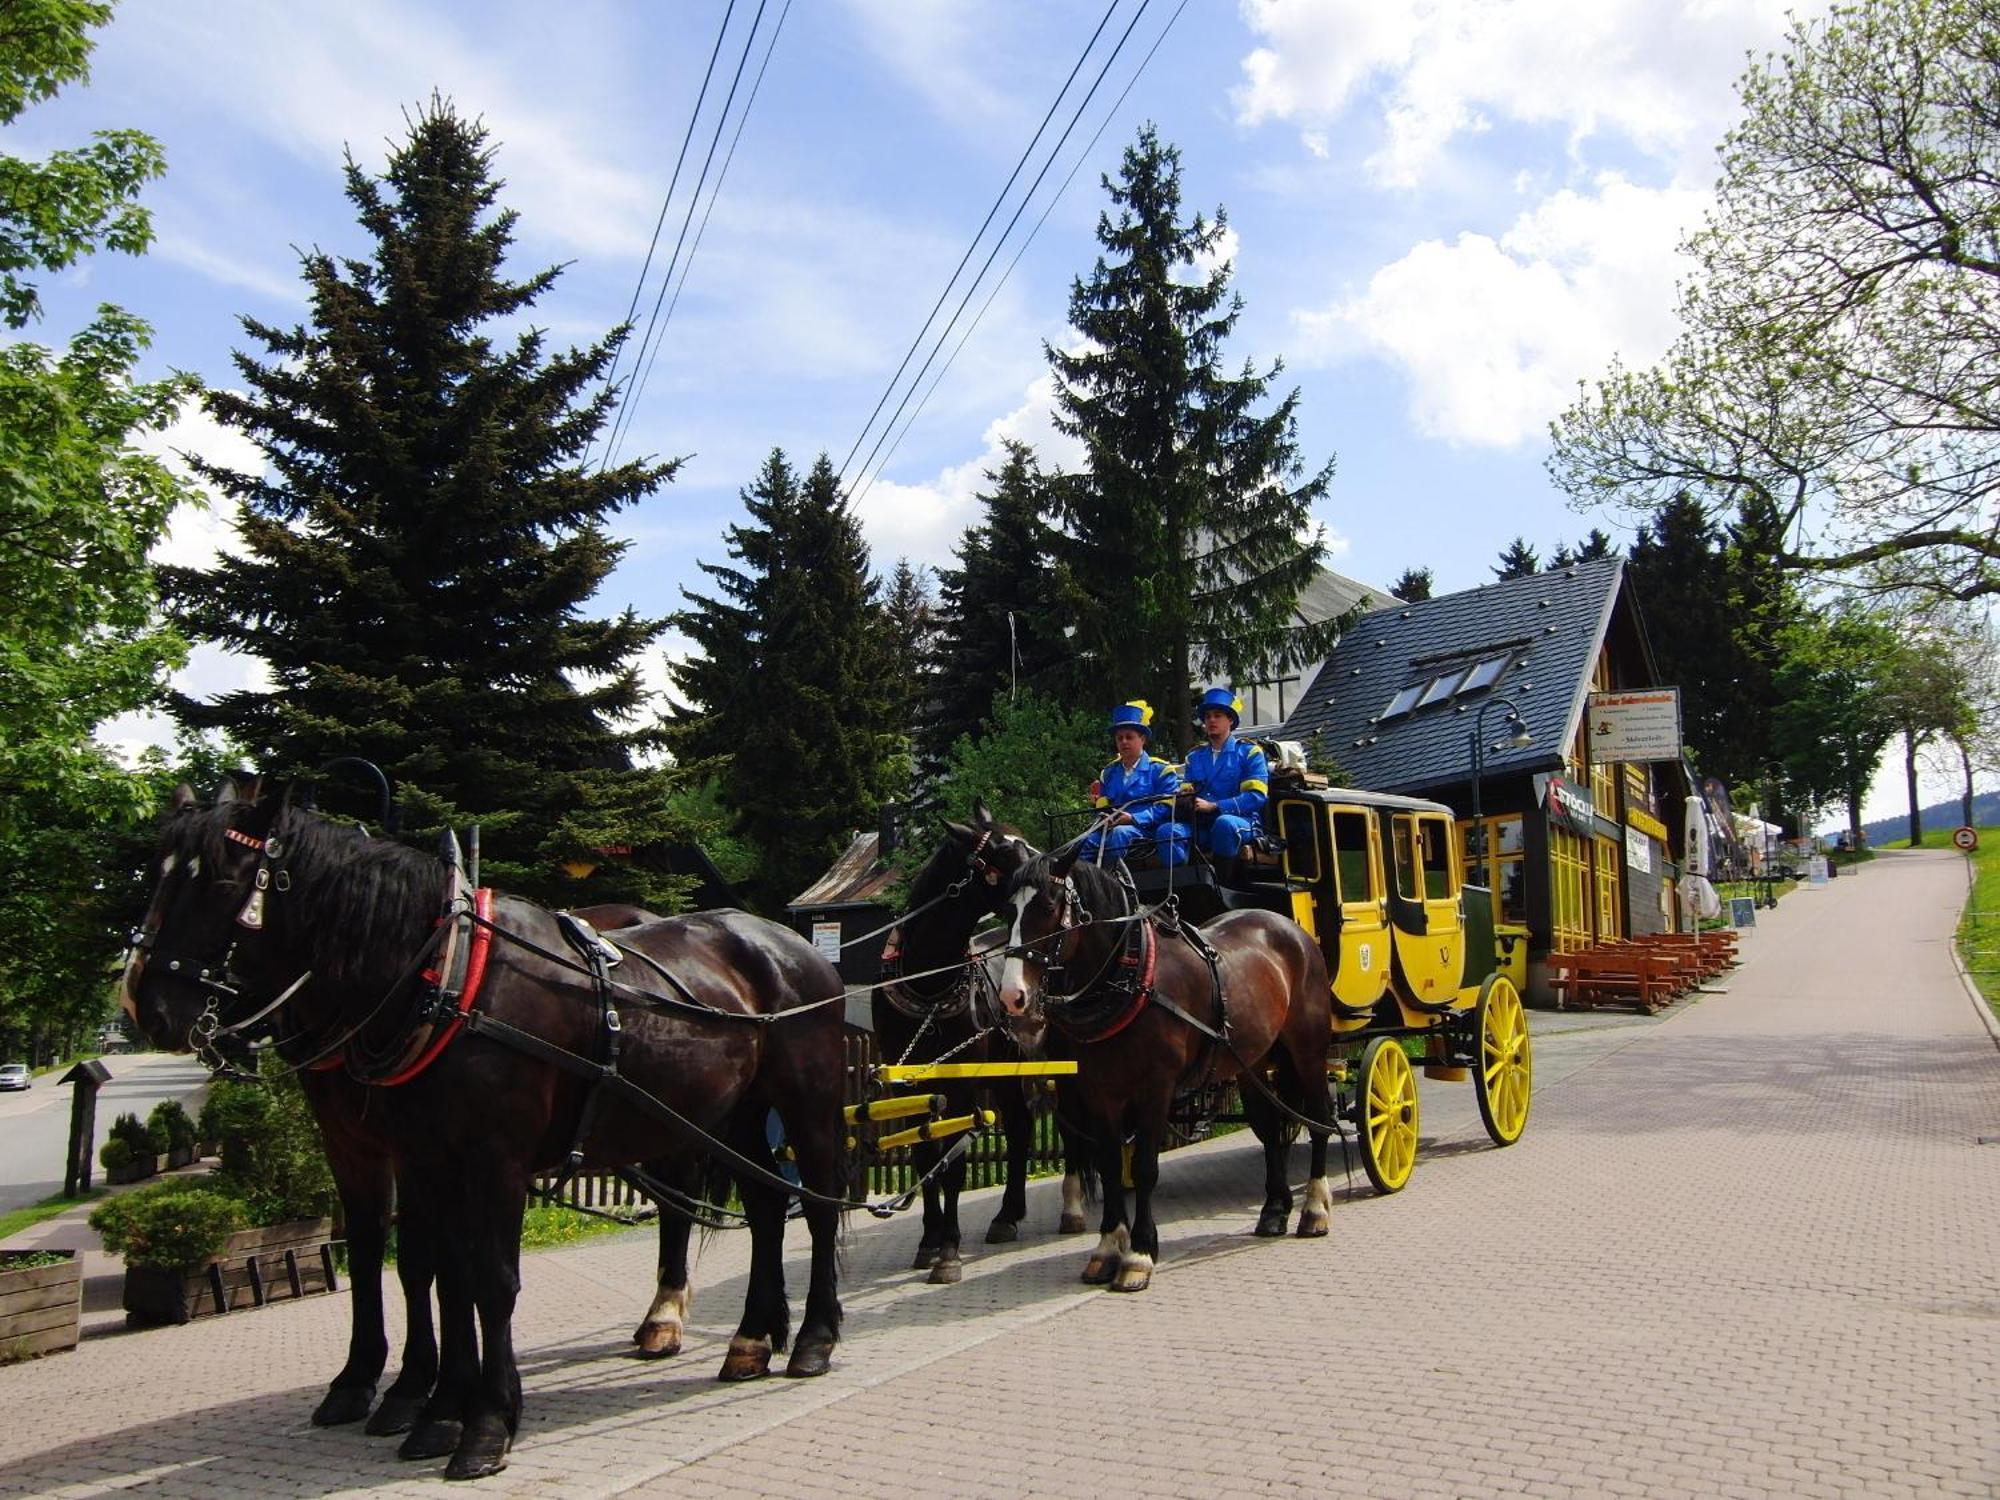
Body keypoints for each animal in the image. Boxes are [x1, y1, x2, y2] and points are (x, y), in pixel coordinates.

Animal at [125, 780, 844, 1488]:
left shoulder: (492, 1160)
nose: (144, 1005)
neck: (444, 978)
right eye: (155, 876)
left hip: (804, 1104)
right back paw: (751, 1337)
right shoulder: (411, 1154)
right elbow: (439, 1273)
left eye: (220, 881)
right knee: (765, 1205)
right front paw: (431, 1405)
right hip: (730, 1112)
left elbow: (489, 1280)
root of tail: (789, 943)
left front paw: (483, 1423)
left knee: (819, 1208)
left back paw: (810, 1337)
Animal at [876, 812, 1096, 1296]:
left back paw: (1071, 1209)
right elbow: (925, 1157)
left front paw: (949, 1253)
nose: (1060, 869)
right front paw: (929, 1240)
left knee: (1068, 1125)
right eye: (1006, 851)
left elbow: (953, 1165)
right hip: (1005, 1073)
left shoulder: (960, 1084)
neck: (928, 984)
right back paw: (1007, 1215)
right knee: (1020, 1128)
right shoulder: (911, 1084)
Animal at [996, 848, 1336, 1296]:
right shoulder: (1101, 1092)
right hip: (1254, 1061)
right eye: (1008, 910)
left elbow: (1144, 1167)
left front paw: (1139, 1254)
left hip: (1308, 1050)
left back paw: (1314, 1208)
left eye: (1049, 907)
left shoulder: (1154, 1089)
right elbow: (1109, 1164)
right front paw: (1107, 1248)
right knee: (1269, 1130)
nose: (1011, 995)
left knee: (1318, 1120)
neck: (1129, 977)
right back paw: (1274, 1209)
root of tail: (1290, 929)